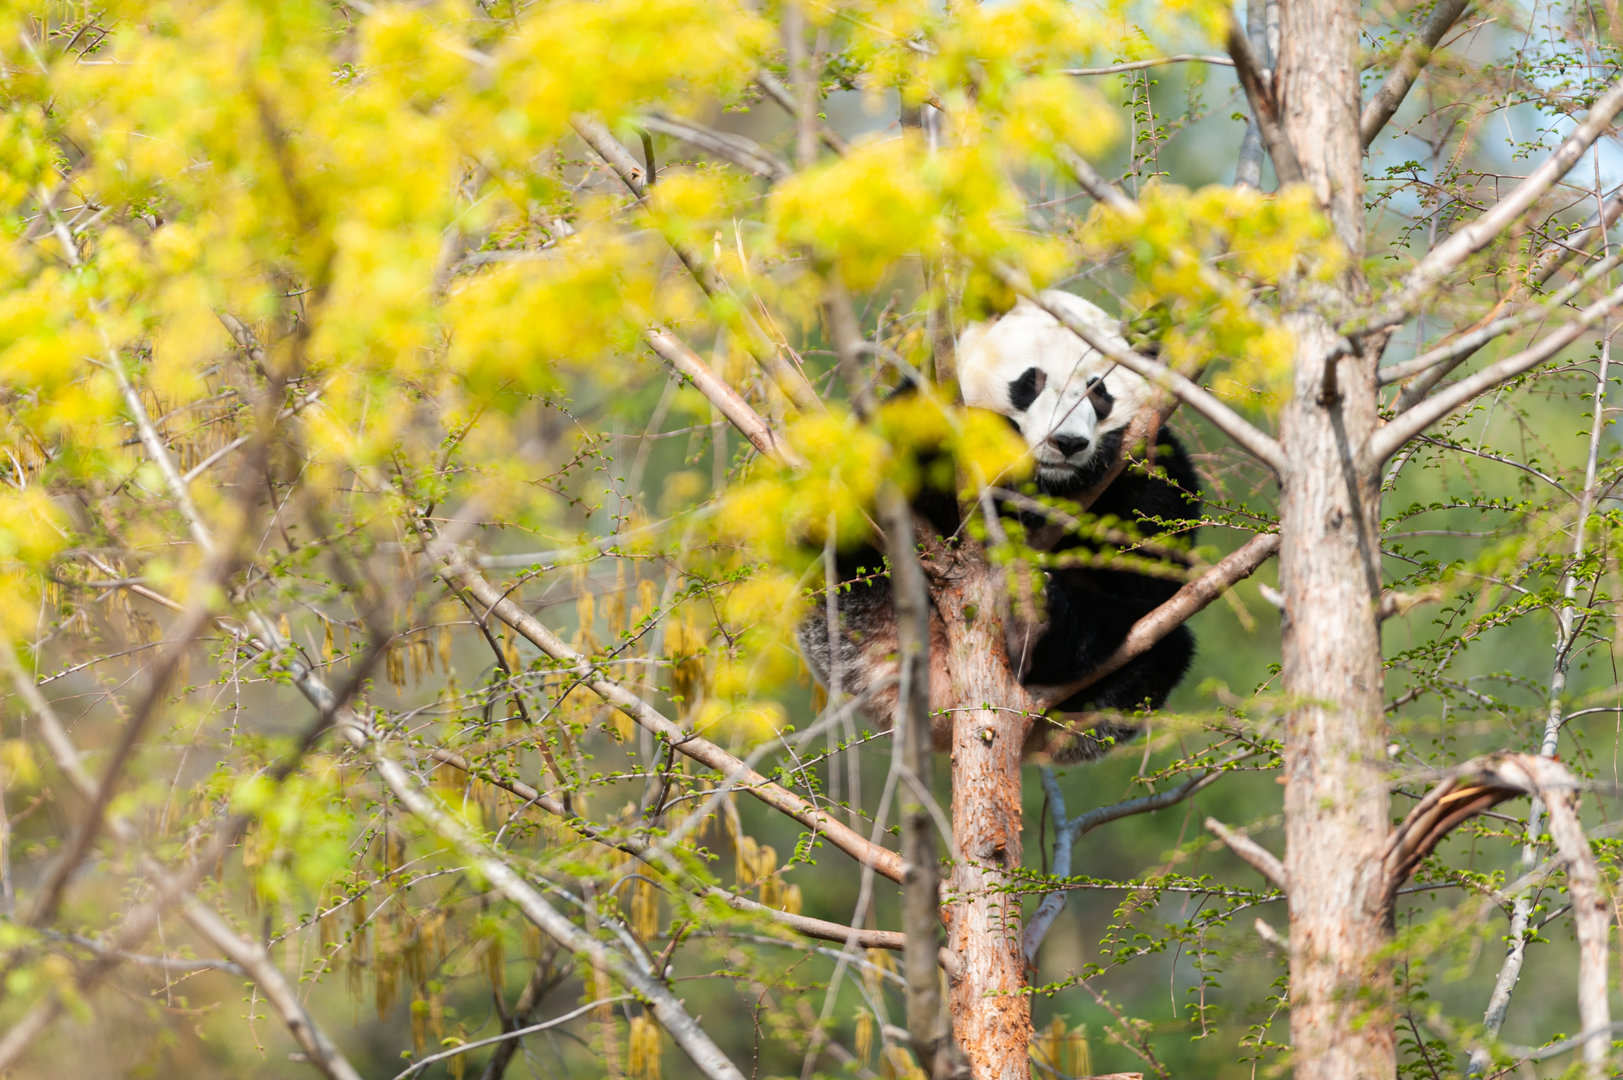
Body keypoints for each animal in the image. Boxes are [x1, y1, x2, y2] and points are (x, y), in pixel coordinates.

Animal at [797, 291, 1203, 762]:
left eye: (1098, 391)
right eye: (1031, 381)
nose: (1067, 443)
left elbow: (1157, 554)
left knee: (1154, 646)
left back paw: (1048, 621)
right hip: (853, 624)